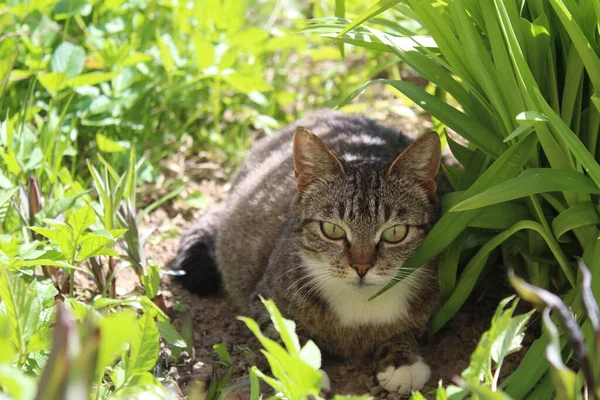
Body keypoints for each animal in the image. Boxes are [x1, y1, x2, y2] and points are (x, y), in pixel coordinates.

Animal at [172, 108, 440, 394]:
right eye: (332, 230)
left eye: (395, 233)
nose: (361, 266)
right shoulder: (264, 301)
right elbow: (283, 335)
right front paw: (305, 373)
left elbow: (407, 329)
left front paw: (403, 360)